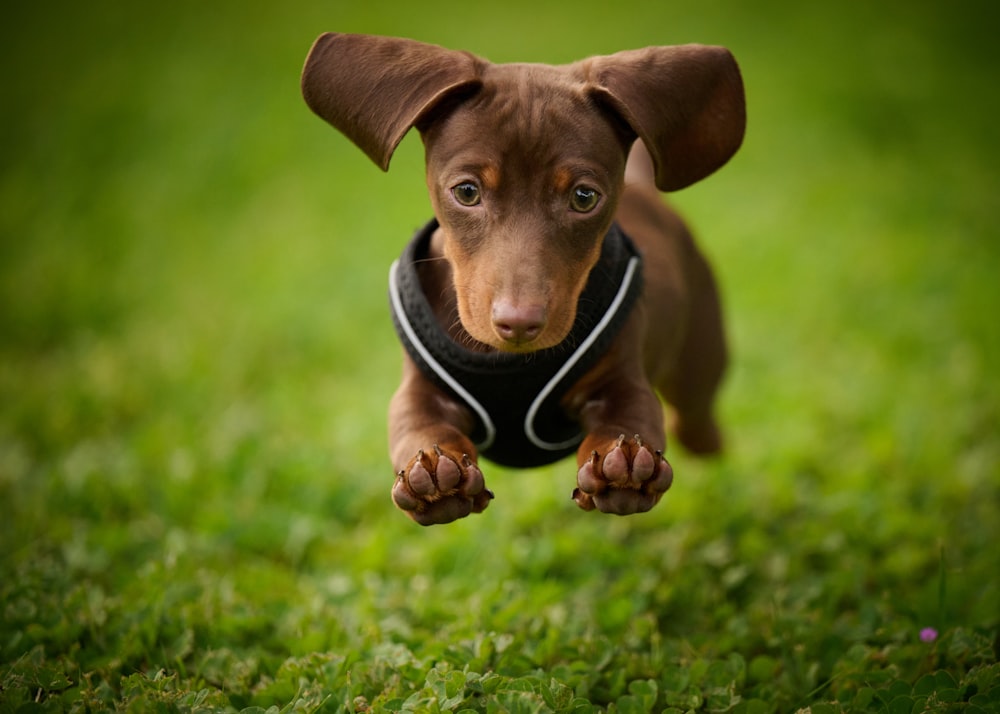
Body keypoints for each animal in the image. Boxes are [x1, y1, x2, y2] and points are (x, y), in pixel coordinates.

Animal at [296, 33, 744, 524]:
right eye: (466, 191)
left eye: (584, 197)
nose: (518, 324)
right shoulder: (418, 392)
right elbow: (419, 425)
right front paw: (433, 473)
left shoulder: (623, 380)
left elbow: (630, 418)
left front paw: (624, 465)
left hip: (700, 360)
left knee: (695, 422)